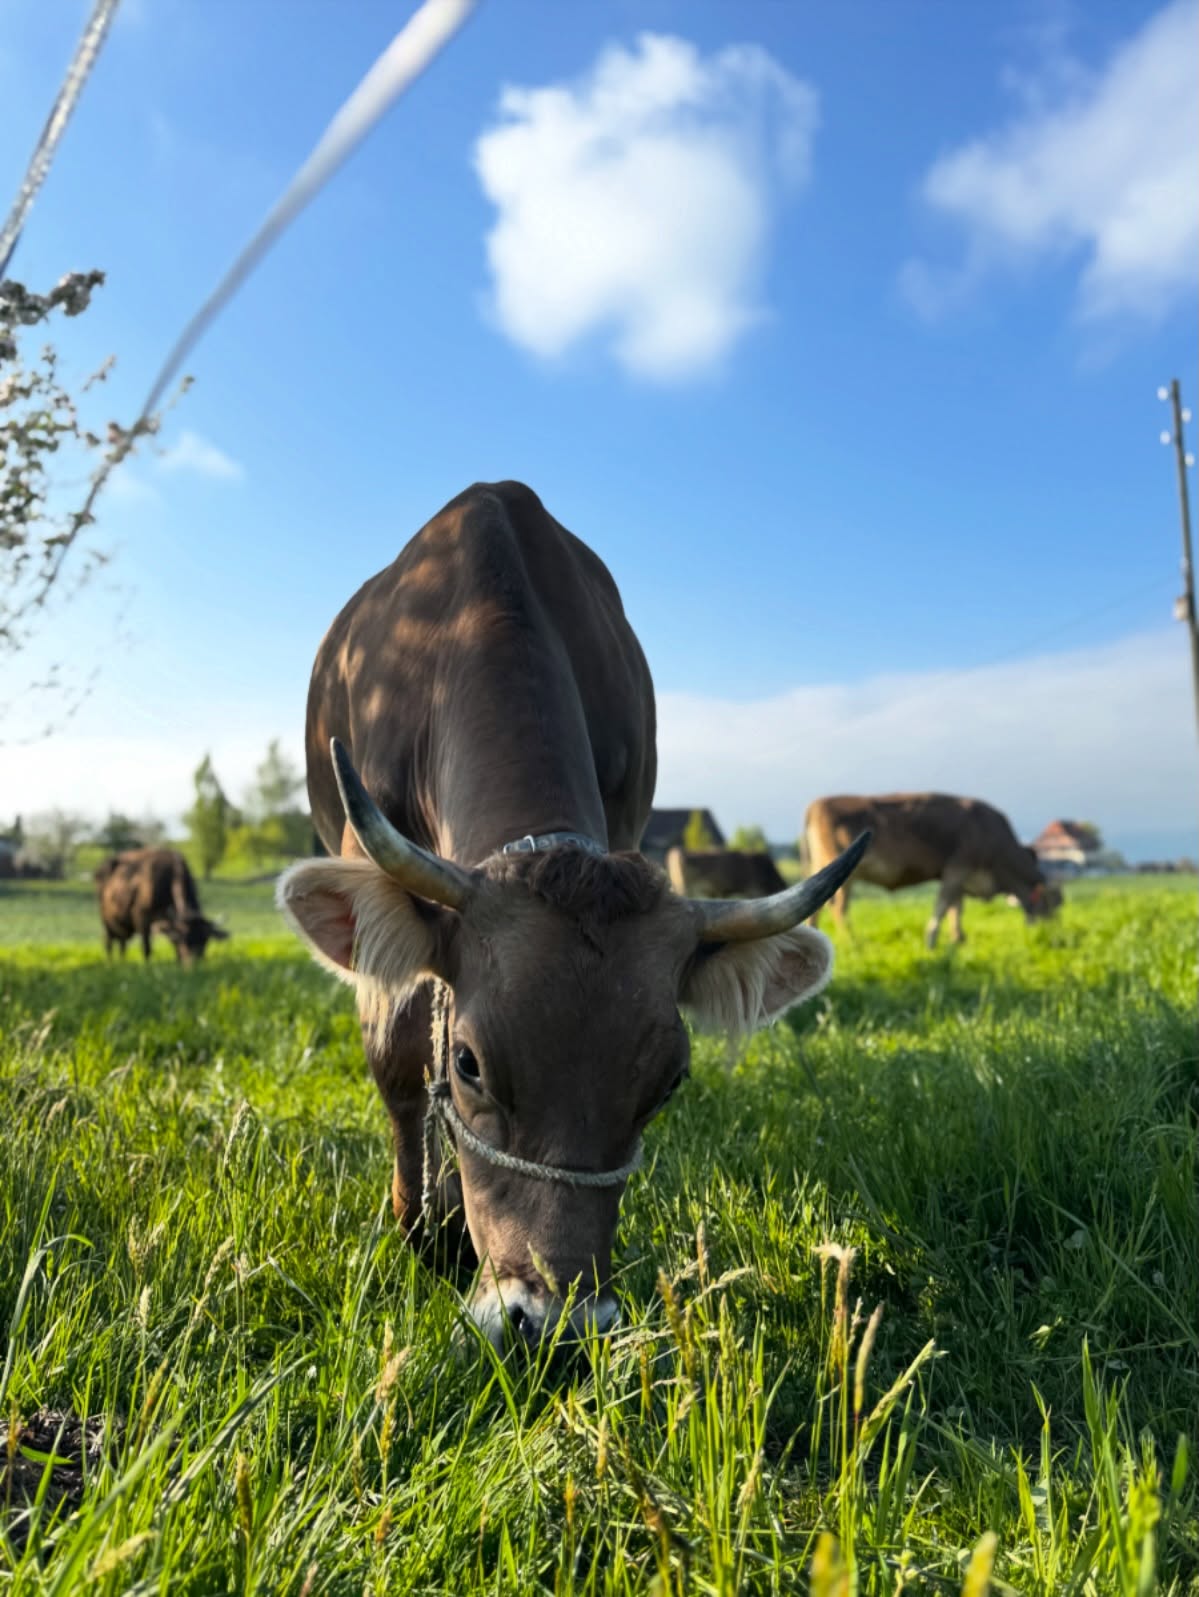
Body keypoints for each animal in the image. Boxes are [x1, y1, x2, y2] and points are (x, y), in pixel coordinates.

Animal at [95, 849, 229, 963]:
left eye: (205, 940)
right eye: (185, 939)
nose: (194, 962)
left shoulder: (169, 924)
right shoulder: (142, 917)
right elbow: (146, 947)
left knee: (122, 943)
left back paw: (122, 962)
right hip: (106, 922)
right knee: (108, 942)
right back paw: (110, 963)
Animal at [803, 793, 1061, 949]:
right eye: (1052, 905)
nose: (1051, 935)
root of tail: (817, 803)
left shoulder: (960, 875)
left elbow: (957, 908)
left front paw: (958, 939)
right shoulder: (957, 867)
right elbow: (943, 905)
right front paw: (931, 940)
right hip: (843, 872)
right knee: (839, 907)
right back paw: (851, 940)